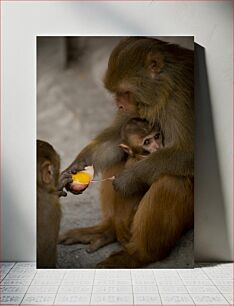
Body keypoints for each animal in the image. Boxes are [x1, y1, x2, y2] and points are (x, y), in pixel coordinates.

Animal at [58, 36, 194, 268]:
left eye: (126, 92)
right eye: (117, 94)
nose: (120, 106)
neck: (166, 88)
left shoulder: (181, 99)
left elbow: (188, 153)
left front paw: (128, 179)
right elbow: (118, 136)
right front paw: (75, 167)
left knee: (171, 181)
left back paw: (139, 255)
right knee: (118, 157)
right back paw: (107, 230)